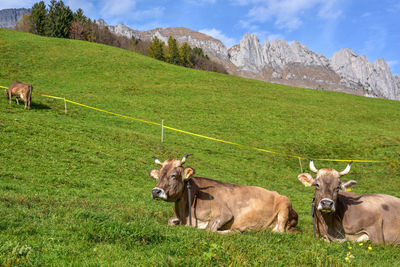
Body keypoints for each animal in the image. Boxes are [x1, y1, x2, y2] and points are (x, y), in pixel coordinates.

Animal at [149, 155, 296, 234]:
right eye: (159, 176)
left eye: (174, 175)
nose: (155, 191)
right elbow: (170, 221)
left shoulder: (225, 214)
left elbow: (209, 229)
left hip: (284, 203)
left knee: (278, 230)